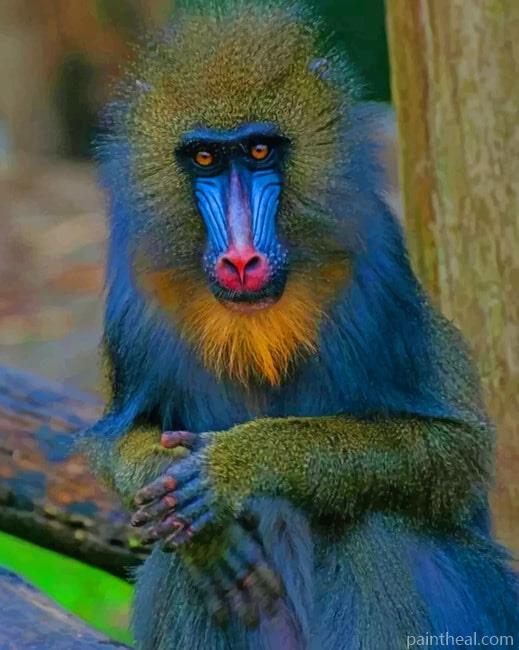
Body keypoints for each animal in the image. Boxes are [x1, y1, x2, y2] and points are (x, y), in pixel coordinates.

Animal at [82, 1, 519, 648]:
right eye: (206, 158)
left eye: (260, 152)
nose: (242, 261)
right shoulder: (135, 293)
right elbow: (117, 444)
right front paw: (200, 522)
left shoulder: (380, 275)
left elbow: (453, 450)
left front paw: (235, 466)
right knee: (175, 565)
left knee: (375, 525)